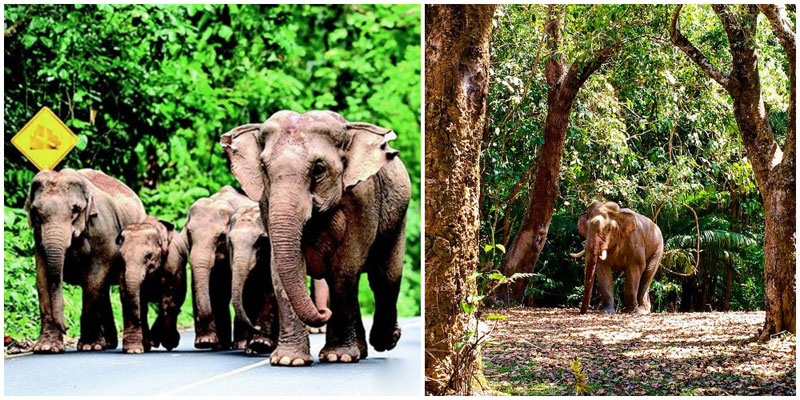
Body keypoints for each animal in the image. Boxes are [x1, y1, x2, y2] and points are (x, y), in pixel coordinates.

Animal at [25, 168, 146, 353]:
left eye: (75, 210)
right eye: (36, 212)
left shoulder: (103, 230)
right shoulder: (38, 238)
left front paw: (89, 346)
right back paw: (107, 344)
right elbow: (43, 279)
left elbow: (93, 280)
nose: (66, 328)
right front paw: (46, 348)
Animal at [117, 216, 187, 354]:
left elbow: (168, 300)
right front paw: (134, 350)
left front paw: (167, 342)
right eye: (121, 256)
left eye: (149, 255)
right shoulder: (122, 270)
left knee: (174, 304)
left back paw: (164, 343)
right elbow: (129, 298)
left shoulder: (173, 264)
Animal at [220, 110, 410, 366]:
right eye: (263, 168)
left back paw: (384, 341)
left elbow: (345, 269)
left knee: (385, 277)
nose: (323, 312)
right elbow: (279, 271)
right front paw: (288, 361)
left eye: (319, 169)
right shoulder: (266, 202)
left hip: (398, 218)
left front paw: (338, 357)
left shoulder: (364, 198)